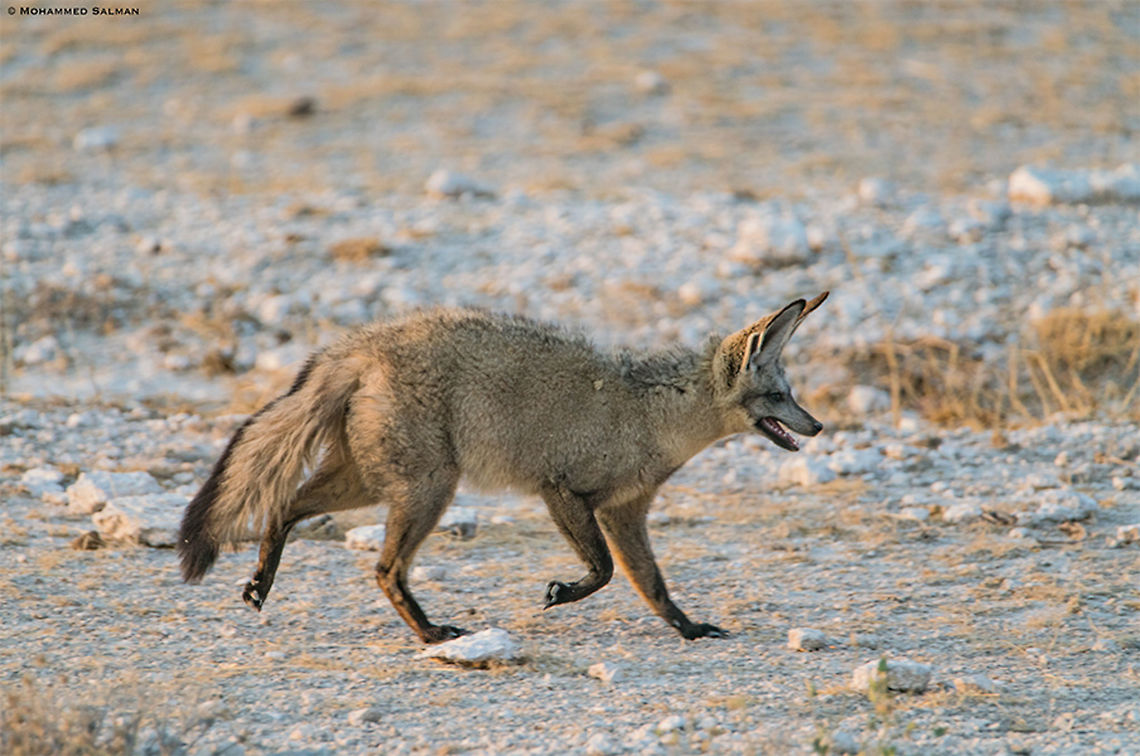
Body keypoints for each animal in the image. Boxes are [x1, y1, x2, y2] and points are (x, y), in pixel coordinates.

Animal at [178, 293, 828, 643]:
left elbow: (653, 586)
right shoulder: (561, 491)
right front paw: (562, 593)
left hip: (372, 483)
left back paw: (262, 583)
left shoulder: (625, 511)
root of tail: (367, 342)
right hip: (428, 489)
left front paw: (689, 629)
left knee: (284, 506)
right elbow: (603, 572)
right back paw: (429, 633)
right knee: (386, 569)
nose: (818, 425)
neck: (652, 414)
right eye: (778, 397)